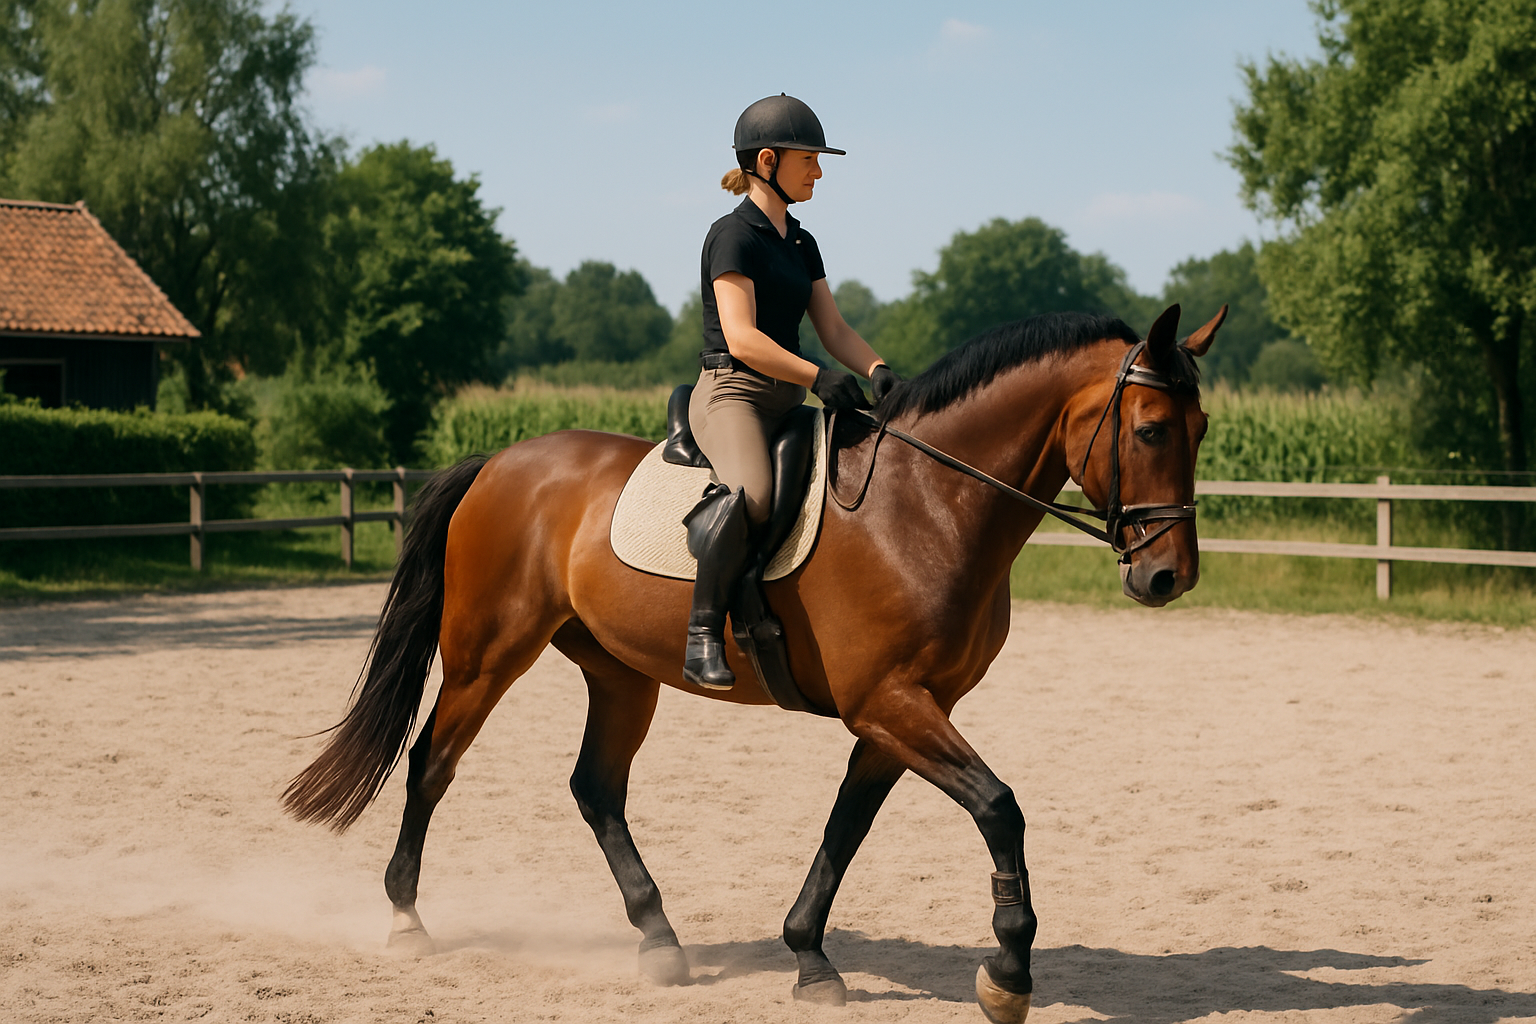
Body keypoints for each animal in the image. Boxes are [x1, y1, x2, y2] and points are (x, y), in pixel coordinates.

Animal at [284, 303, 1224, 1023]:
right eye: (1149, 430)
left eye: (1205, 429)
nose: (1168, 576)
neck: (926, 505)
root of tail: (501, 463)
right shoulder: (892, 704)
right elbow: (1000, 808)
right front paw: (1008, 977)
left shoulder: (901, 712)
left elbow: (846, 828)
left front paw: (809, 959)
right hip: (486, 655)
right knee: (431, 764)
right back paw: (407, 921)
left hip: (621, 673)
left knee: (596, 789)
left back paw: (659, 941)